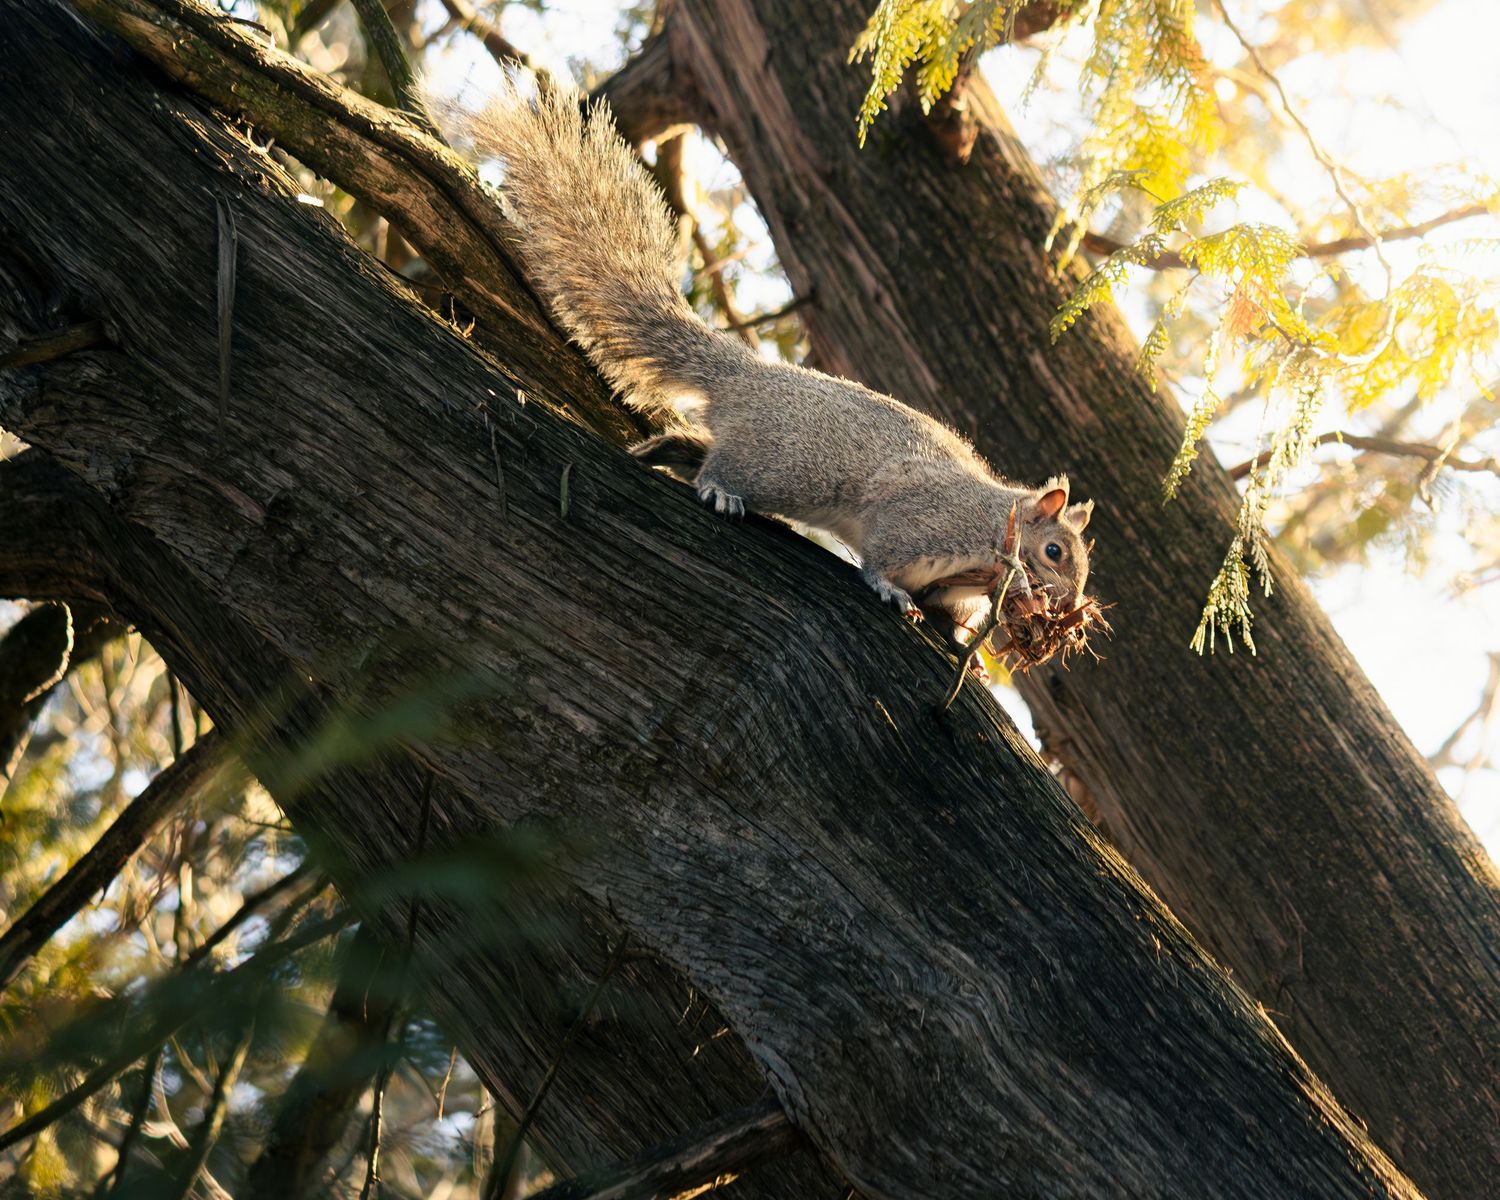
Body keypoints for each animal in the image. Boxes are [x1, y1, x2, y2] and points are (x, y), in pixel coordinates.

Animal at [462, 81, 1094, 649]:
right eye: (1054, 552)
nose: (1069, 603)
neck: (990, 530)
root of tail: (746, 375)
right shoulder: (923, 521)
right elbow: (882, 556)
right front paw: (891, 590)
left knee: (698, 448)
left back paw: (662, 451)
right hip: (786, 465)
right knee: (722, 469)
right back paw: (719, 492)